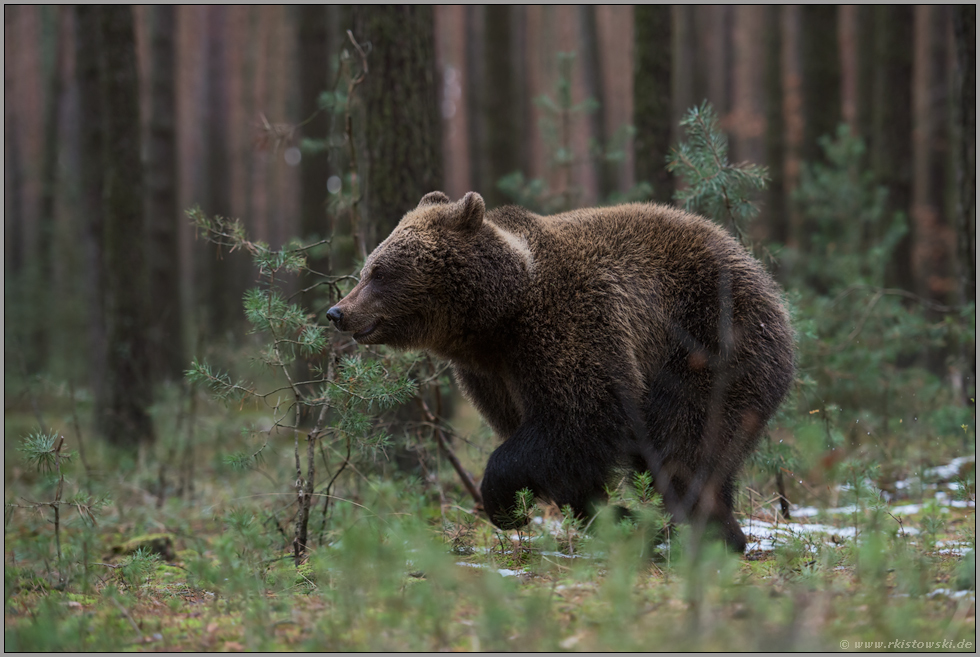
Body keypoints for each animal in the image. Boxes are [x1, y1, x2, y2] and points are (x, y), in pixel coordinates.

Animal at [330, 190, 796, 548]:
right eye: (366, 269)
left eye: (380, 272)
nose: (338, 312)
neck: (495, 320)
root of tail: (763, 276)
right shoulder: (492, 376)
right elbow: (563, 453)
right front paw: (611, 514)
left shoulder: (567, 326)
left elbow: (579, 416)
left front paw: (504, 502)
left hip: (711, 341)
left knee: (688, 442)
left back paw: (709, 532)